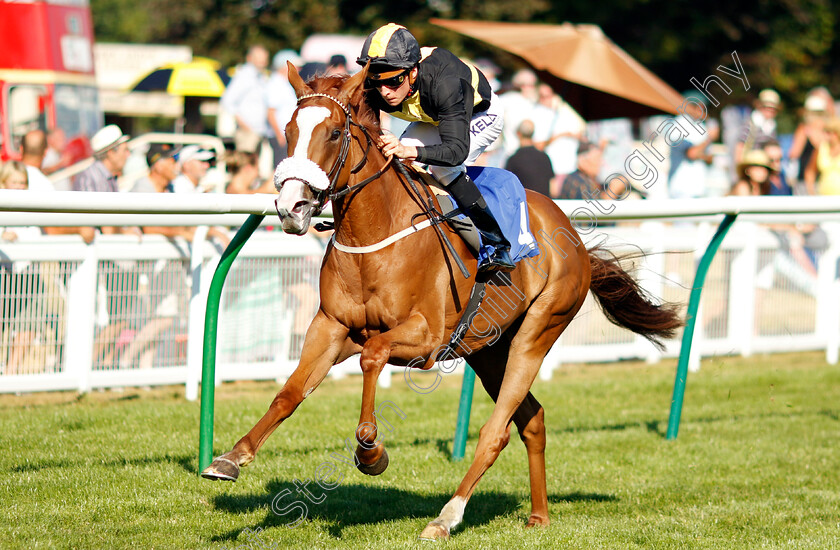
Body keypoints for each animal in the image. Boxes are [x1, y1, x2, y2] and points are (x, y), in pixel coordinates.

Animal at [202, 62, 684, 540]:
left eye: (335, 133)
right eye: (287, 130)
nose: (292, 207)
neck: (374, 234)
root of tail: (571, 231)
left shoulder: (427, 338)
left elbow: (374, 355)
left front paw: (371, 451)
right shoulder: (332, 327)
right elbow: (290, 392)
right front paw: (230, 458)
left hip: (537, 331)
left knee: (497, 430)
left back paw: (447, 516)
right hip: (488, 349)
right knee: (532, 420)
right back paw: (539, 515)